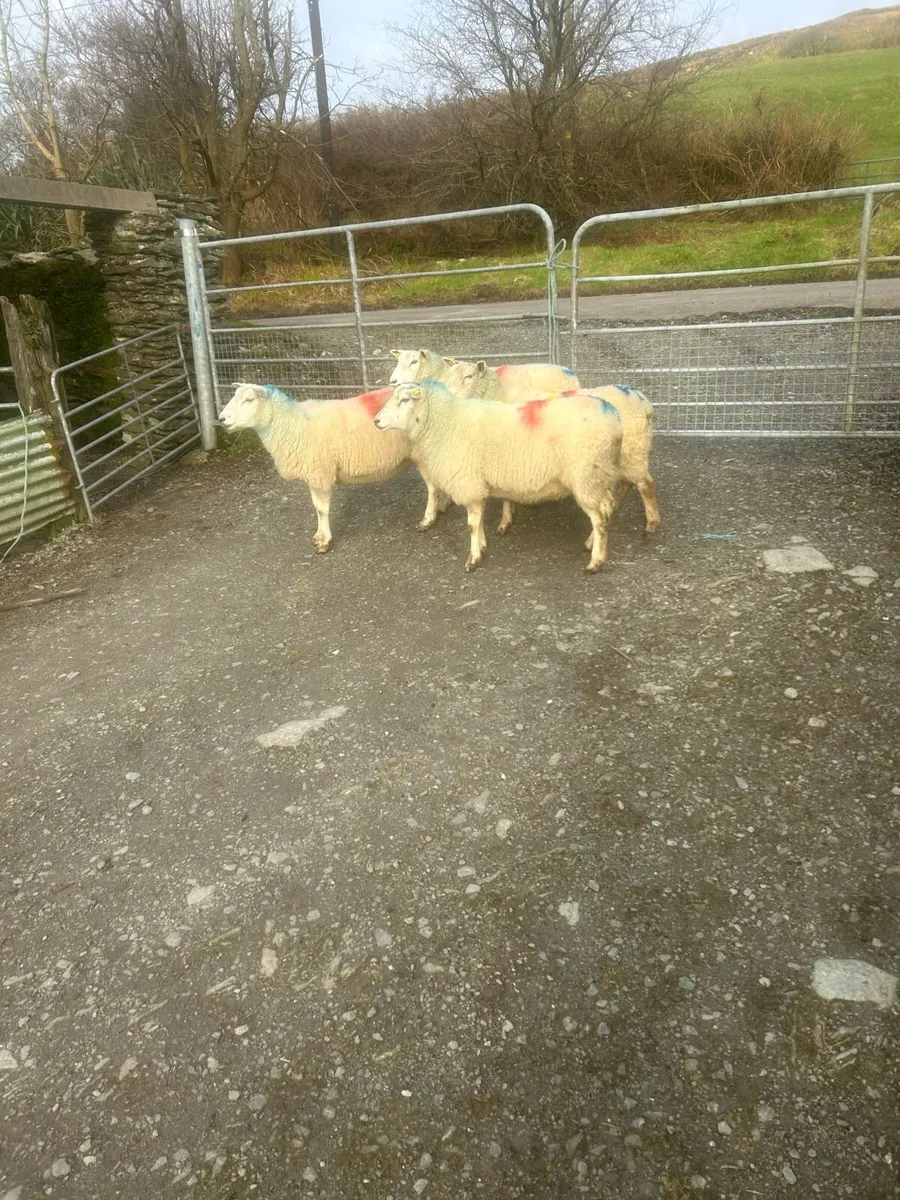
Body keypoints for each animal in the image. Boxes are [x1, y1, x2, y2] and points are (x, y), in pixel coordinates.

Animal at [218, 383, 449, 552]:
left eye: (249, 400)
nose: (221, 419)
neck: (291, 424)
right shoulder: (313, 473)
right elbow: (316, 507)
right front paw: (320, 536)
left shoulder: (320, 473)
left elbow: (321, 509)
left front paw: (324, 541)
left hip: (425, 452)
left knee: (432, 487)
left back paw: (428, 519)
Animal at [374, 381, 623, 573]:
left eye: (405, 400)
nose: (376, 421)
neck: (445, 422)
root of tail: (614, 418)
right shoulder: (478, 486)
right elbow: (479, 521)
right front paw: (483, 547)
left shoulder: (469, 484)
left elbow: (472, 525)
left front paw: (473, 560)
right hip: (600, 476)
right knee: (607, 508)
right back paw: (591, 543)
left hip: (587, 476)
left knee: (599, 518)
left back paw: (596, 563)